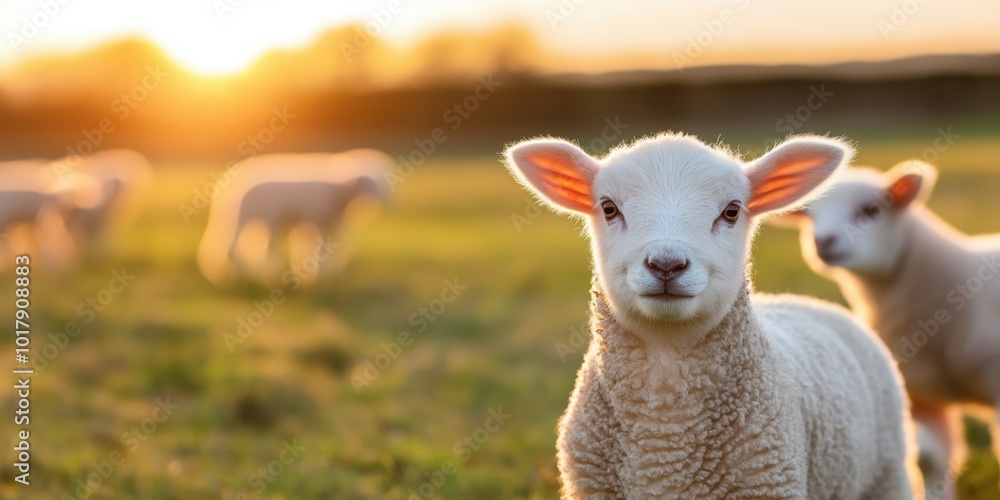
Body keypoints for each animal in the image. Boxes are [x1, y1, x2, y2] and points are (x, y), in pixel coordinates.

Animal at [197, 150, 392, 286]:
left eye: (382, 183)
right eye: (367, 184)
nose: (375, 203)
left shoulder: (332, 225)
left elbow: (333, 249)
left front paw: (327, 275)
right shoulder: (315, 219)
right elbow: (318, 249)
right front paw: (316, 276)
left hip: (249, 221)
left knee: (241, 247)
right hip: (251, 218)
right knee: (237, 248)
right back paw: (236, 275)